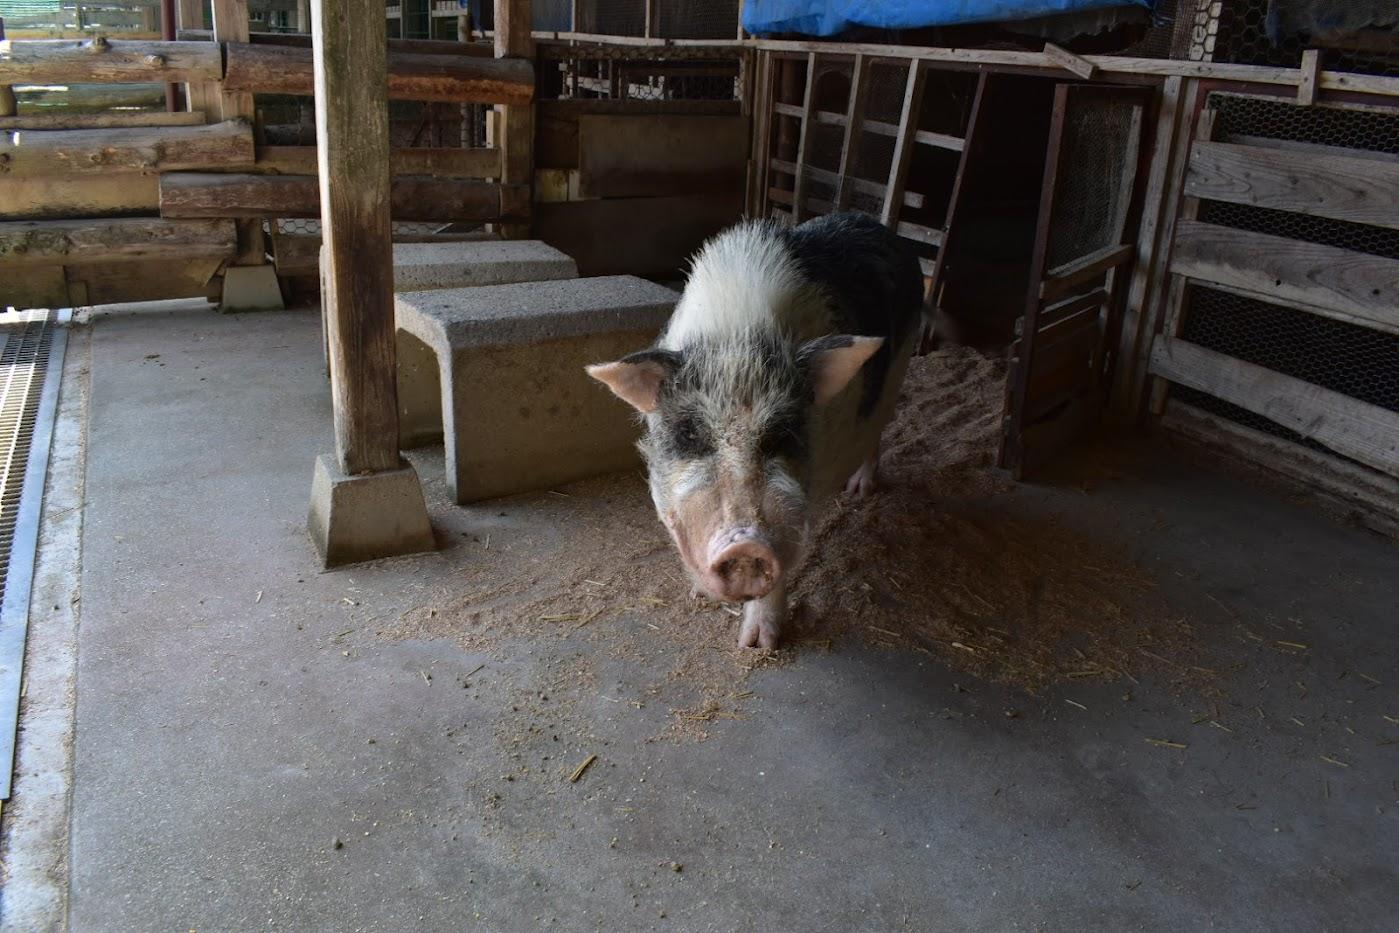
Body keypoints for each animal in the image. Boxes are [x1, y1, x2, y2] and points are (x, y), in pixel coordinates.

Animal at [584, 211, 923, 649]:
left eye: (782, 435)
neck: (737, 337)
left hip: (897, 376)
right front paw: (698, 596)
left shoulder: (799, 504)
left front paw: (758, 645)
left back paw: (860, 490)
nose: (745, 543)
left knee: (878, 432)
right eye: (689, 434)